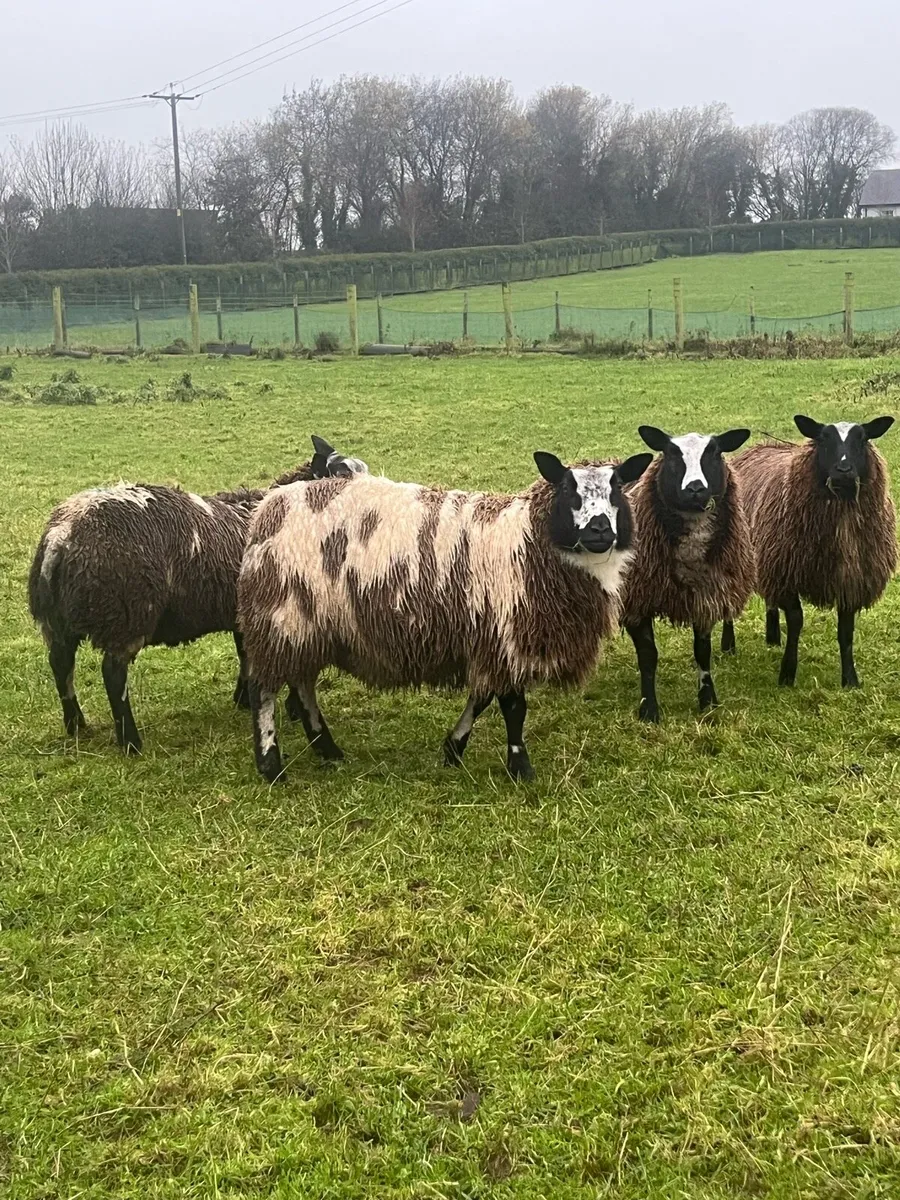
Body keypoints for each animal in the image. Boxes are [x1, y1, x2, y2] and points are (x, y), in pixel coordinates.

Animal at [28, 436, 368, 754]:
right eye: (340, 474)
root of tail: (63, 533)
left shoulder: (242, 614)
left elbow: (246, 656)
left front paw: (243, 699)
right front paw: (292, 708)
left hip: (57, 620)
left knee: (60, 665)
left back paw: (76, 725)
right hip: (125, 615)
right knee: (113, 676)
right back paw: (131, 742)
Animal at [236, 449, 653, 783]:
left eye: (618, 488)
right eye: (568, 489)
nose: (599, 530)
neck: (529, 543)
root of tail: (269, 506)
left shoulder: (487, 641)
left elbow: (481, 698)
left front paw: (453, 749)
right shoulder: (503, 639)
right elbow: (513, 708)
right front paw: (520, 767)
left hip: (304, 624)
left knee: (302, 683)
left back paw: (327, 749)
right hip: (279, 616)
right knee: (264, 689)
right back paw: (271, 765)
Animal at [620, 425, 754, 722]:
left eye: (714, 452)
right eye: (671, 453)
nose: (695, 489)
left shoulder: (706, 597)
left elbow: (702, 652)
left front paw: (708, 700)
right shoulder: (636, 601)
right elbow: (648, 656)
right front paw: (649, 709)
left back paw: (729, 644)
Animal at [720, 415, 896, 688]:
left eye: (863, 439)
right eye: (823, 439)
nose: (843, 471)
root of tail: (761, 446)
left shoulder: (850, 580)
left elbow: (846, 632)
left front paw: (850, 679)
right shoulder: (787, 575)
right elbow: (796, 622)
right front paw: (787, 674)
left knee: (770, 601)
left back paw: (772, 637)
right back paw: (728, 645)